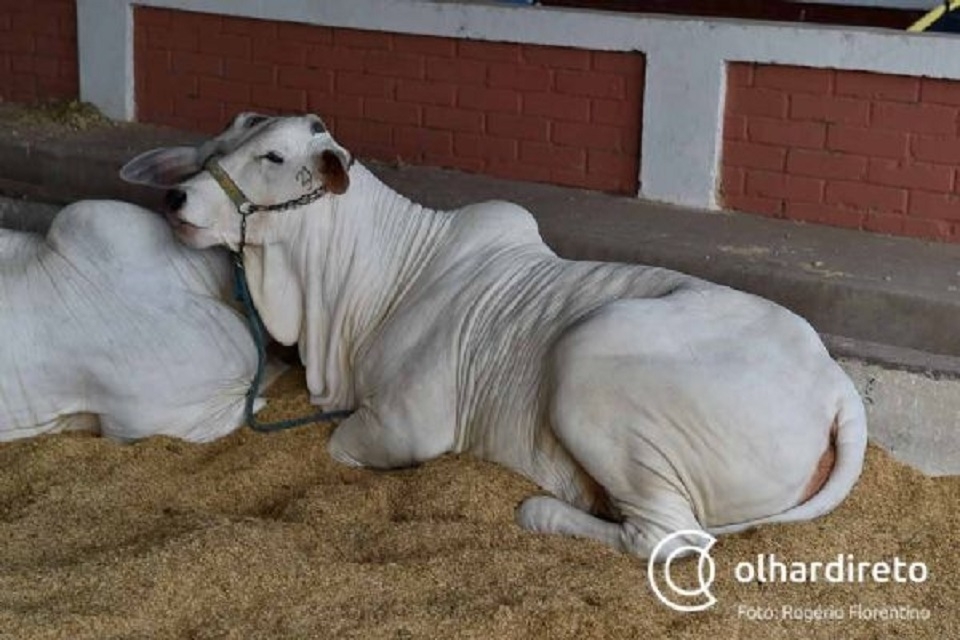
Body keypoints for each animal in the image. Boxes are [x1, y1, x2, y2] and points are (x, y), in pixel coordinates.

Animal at [124, 115, 868, 560]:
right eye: (215, 148)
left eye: (274, 156)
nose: (178, 199)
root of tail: (837, 389)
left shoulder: (409, 423)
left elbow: (340, 446)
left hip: (588, 359)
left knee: (665, 536)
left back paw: (543, 511)